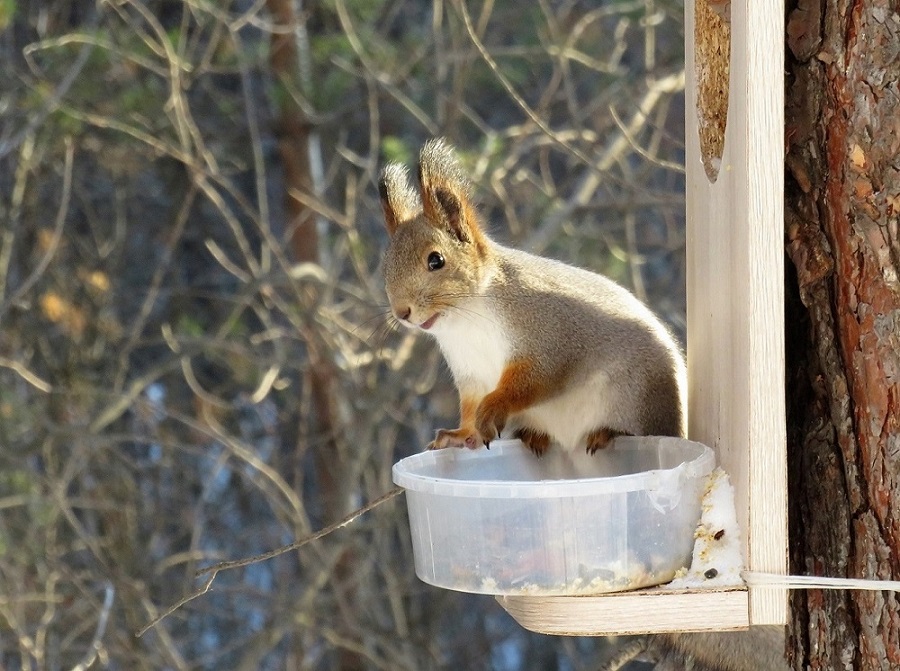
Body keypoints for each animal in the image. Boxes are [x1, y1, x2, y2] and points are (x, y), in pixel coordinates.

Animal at [376, 140, 684, 456]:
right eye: (385, 266)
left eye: (436, 260)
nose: (401, 312)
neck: (467, 317)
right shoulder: (471, 373)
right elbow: (470, 408)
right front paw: (461, 435)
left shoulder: (547, 336)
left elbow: (533, 379)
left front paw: (494, 408)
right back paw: (535, 437)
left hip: (636, 399)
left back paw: (606, 433)